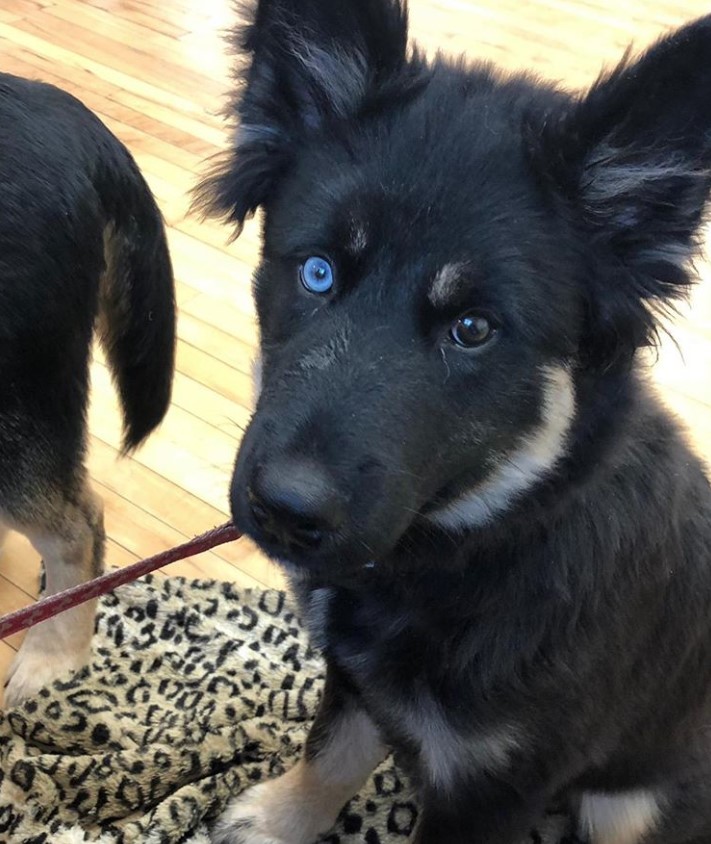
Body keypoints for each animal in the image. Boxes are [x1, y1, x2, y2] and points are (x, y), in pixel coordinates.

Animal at [197, 3, 711, 840]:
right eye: (317, 272)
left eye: (472, 328)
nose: (284, 510)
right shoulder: (357, 676)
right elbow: (332, 750)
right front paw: (281, 817)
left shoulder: (495, 782)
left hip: (633, 799)